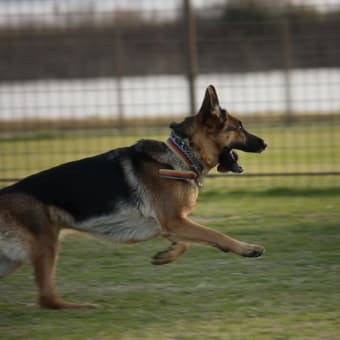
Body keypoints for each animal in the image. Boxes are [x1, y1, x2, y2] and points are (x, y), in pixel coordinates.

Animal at [0, 85, 266, 308]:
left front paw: (167, 255)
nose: (265, 143)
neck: (182, 154)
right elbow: (215, 233)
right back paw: (83, 307)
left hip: (14, 259)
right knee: (47, 298)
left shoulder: (172, 224)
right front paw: (247, 248)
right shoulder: (174, 221)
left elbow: (189, 241)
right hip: (45, 246)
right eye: (239, 127)